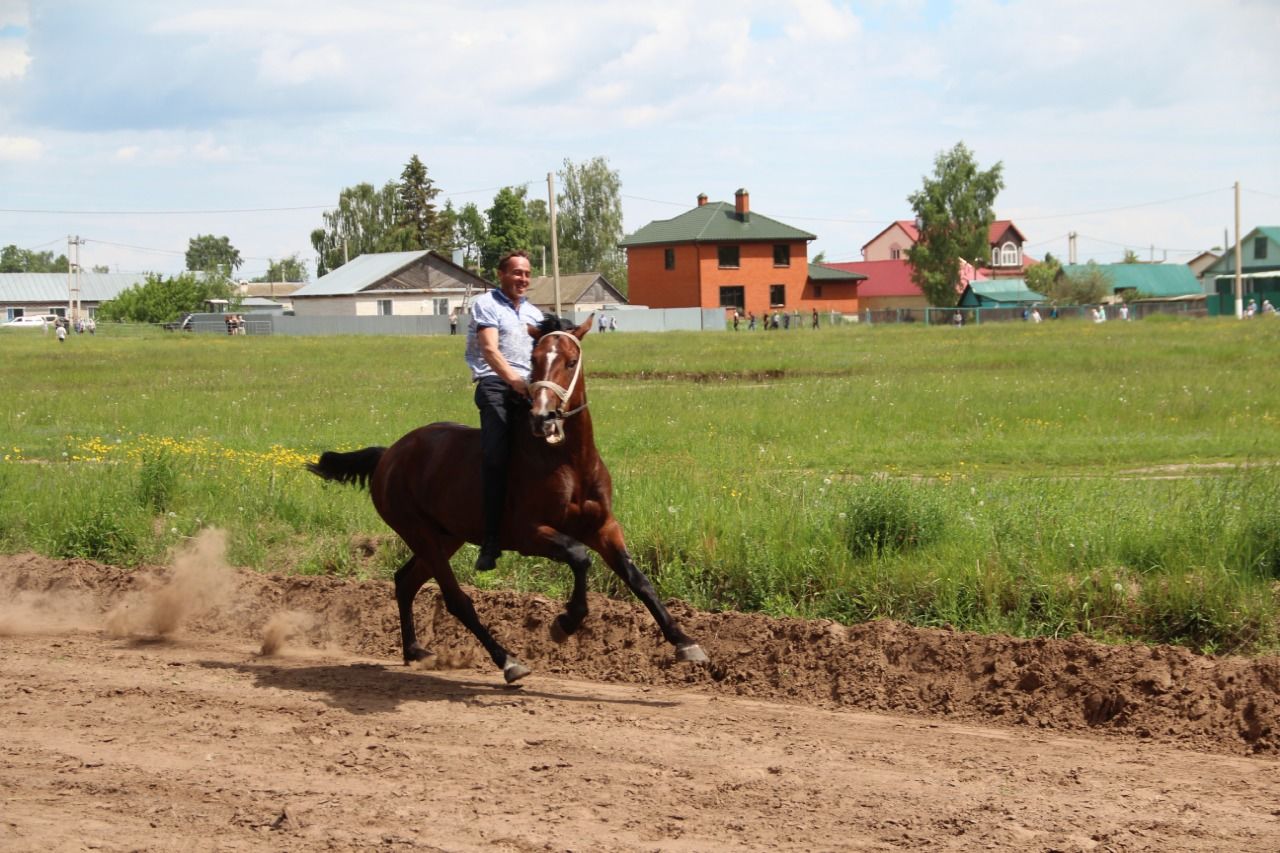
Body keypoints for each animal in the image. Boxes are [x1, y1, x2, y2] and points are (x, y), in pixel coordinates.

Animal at [308, 315, 711, 681]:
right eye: (535, 359)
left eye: (570, 360)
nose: (544, 416)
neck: (567, 460)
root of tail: (390, 454)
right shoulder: (528, 534)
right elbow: (580, 557)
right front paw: (566, 621)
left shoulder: (604, 528)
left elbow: (638, 580)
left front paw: (685, 641)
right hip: (420, 533)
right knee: (456, 600)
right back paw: (507, 660)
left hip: (445, 536)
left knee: (405, 581)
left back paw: (414, 650)